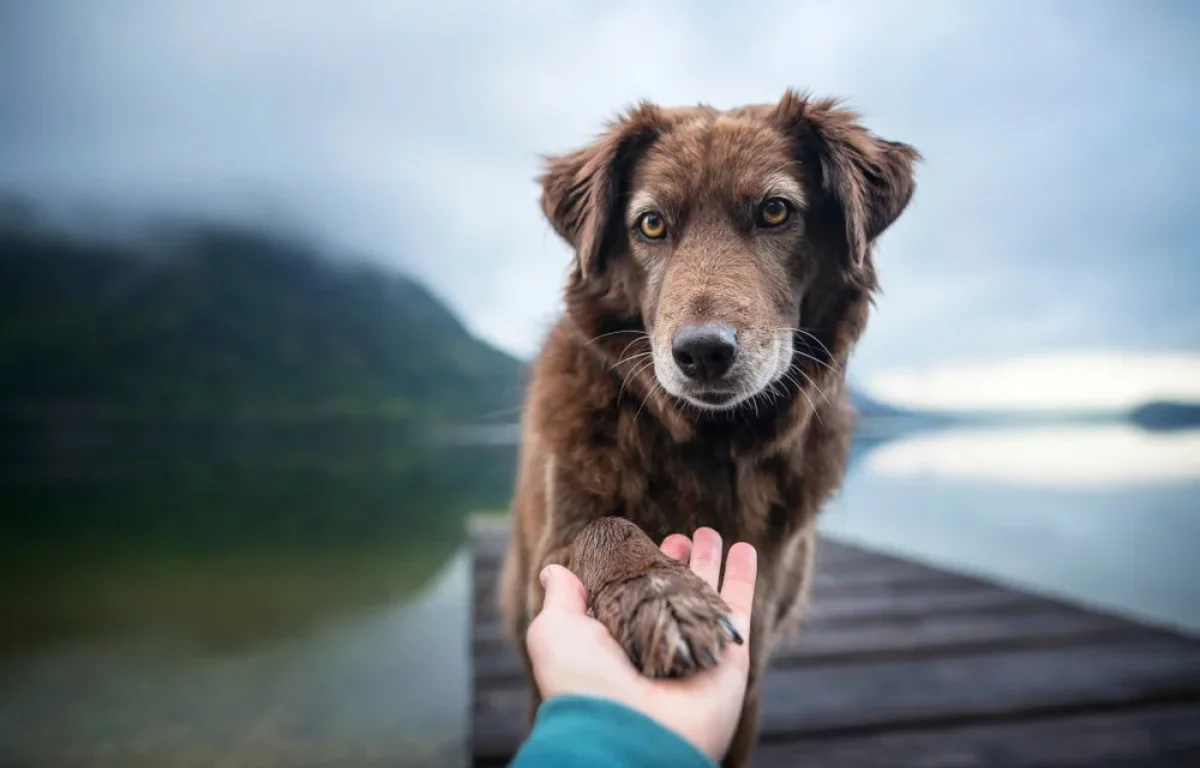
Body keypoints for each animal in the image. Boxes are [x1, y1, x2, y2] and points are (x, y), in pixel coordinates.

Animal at [499, 87, 916, 763]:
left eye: (775, 211)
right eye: (650, 224)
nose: (701, 353)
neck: (711, 444)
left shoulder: (757, 657)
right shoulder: (554, 553)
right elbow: (605, 529)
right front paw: (661, 596)